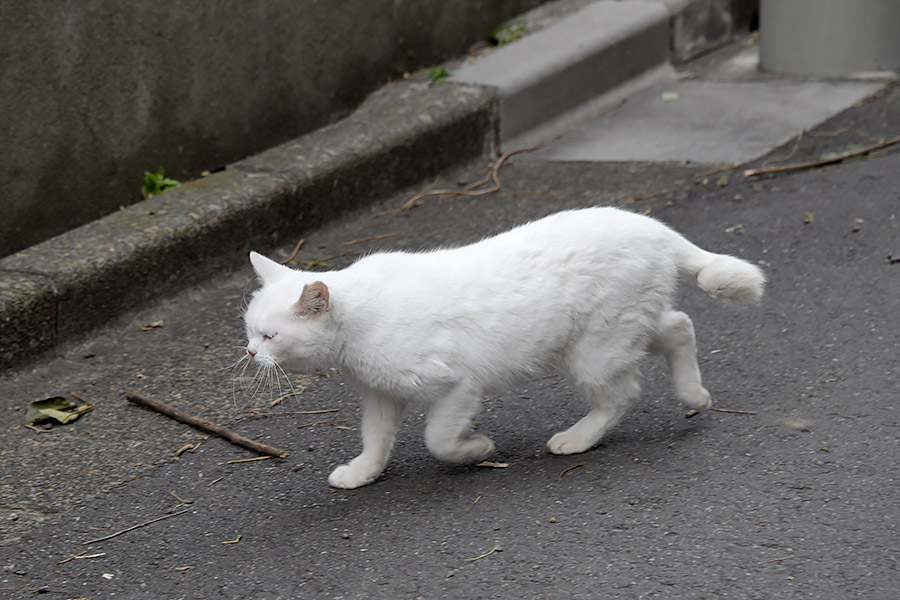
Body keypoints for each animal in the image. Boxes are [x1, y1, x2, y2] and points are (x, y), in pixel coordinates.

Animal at [243, 206, 764, 488]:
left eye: (270, 336)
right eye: (249, 330)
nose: (249, 353)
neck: (357, 327)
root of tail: (653, 226)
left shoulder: (457, 384)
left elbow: (438, 439)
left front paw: (477, 449)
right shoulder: (381, 394)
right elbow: (375, 439)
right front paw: (362, 473)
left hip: (596, 350)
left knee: (623, 394)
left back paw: (577, 438)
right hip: (622, 330)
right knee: (679, 326)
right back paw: (695, 395)